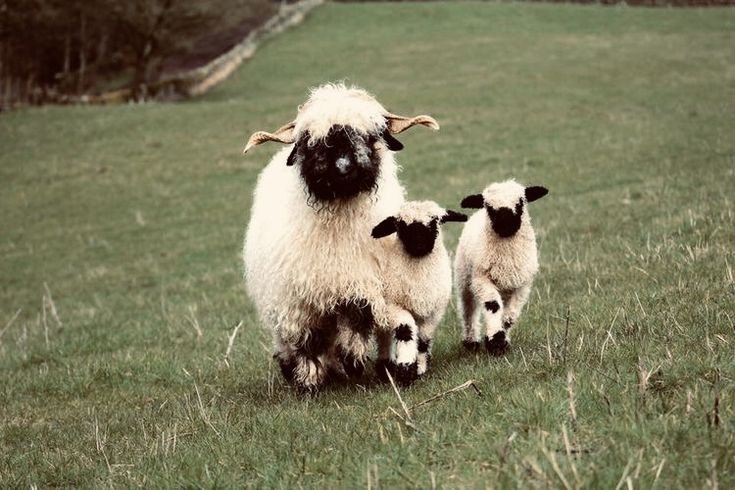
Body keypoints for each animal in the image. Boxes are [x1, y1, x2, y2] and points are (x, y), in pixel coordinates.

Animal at [242, 83, 440, 392]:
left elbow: (356, 324)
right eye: (311, 141)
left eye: (370, 135)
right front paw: (309, 381)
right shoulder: (298, 301)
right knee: (289, 339)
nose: (344, 166)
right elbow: (306, 341)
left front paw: (352, 361)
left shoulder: (359, 286)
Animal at [371, 201, 467, 386]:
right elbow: (406, 331)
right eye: (401, 225)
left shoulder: (433, 313)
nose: (419, 245)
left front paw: (420, 367)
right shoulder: (394, 306)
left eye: (434, 222)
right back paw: (386, 368)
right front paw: (406, 369)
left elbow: (423, 339)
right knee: (384, 337)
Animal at [454, 179, 548, 355]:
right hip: (464, 278)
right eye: (489, 206)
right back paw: (471, 341)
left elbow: (509, 316)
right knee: (468, 310)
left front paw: (501, 340)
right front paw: (495, 342)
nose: (505, 223)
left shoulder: (521, 285)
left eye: (520, 202)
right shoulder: (482, 279)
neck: (506, 258)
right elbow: (493, 306)